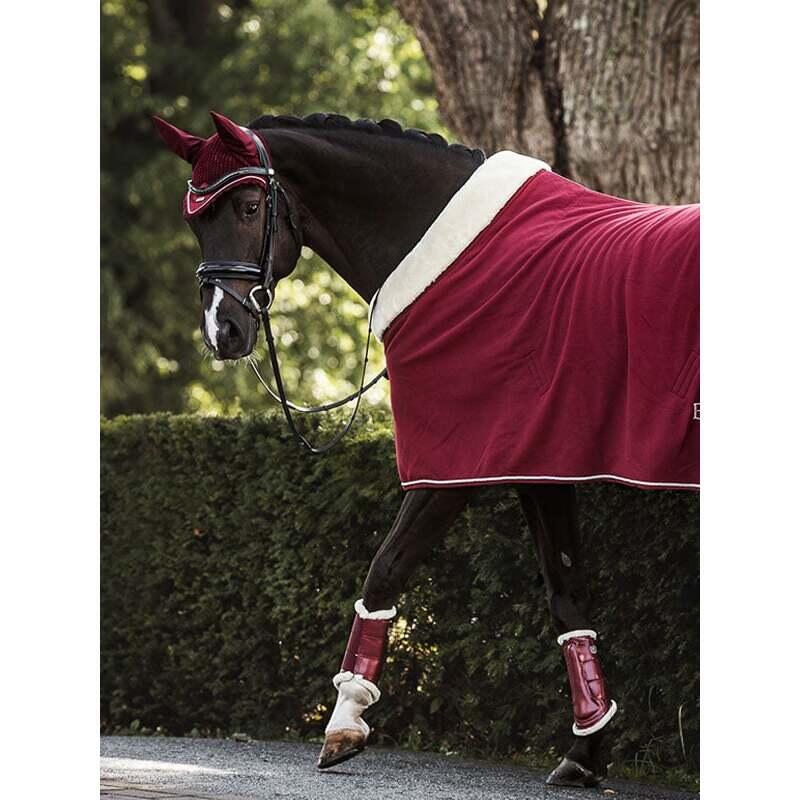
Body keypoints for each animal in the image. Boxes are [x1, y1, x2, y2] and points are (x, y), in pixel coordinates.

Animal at [153, 110, 700, 788]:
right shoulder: (541, 467)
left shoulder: (450, 471)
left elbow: (385, 569)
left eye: (251, 207)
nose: (222, 331)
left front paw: (345, 723)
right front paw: (586, 750)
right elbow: (567, 596)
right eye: (195, 221)